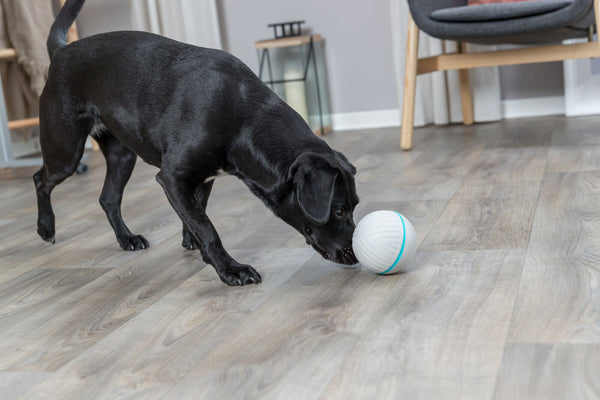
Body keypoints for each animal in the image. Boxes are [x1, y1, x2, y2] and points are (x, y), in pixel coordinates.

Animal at [34, 0, 360, 288]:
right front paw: (231, 270)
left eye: (355, 205)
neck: (243, 116)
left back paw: (127, 239)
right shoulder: (173, 178)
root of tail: (62, 51)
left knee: (108, 198)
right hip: (66, 152)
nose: (355, 256)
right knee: (41, 179)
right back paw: (46, 227)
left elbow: (197, 215)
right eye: (339, 211)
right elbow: (207, 228)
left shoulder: (202, 179)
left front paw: (196, 244)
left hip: (122, 157)